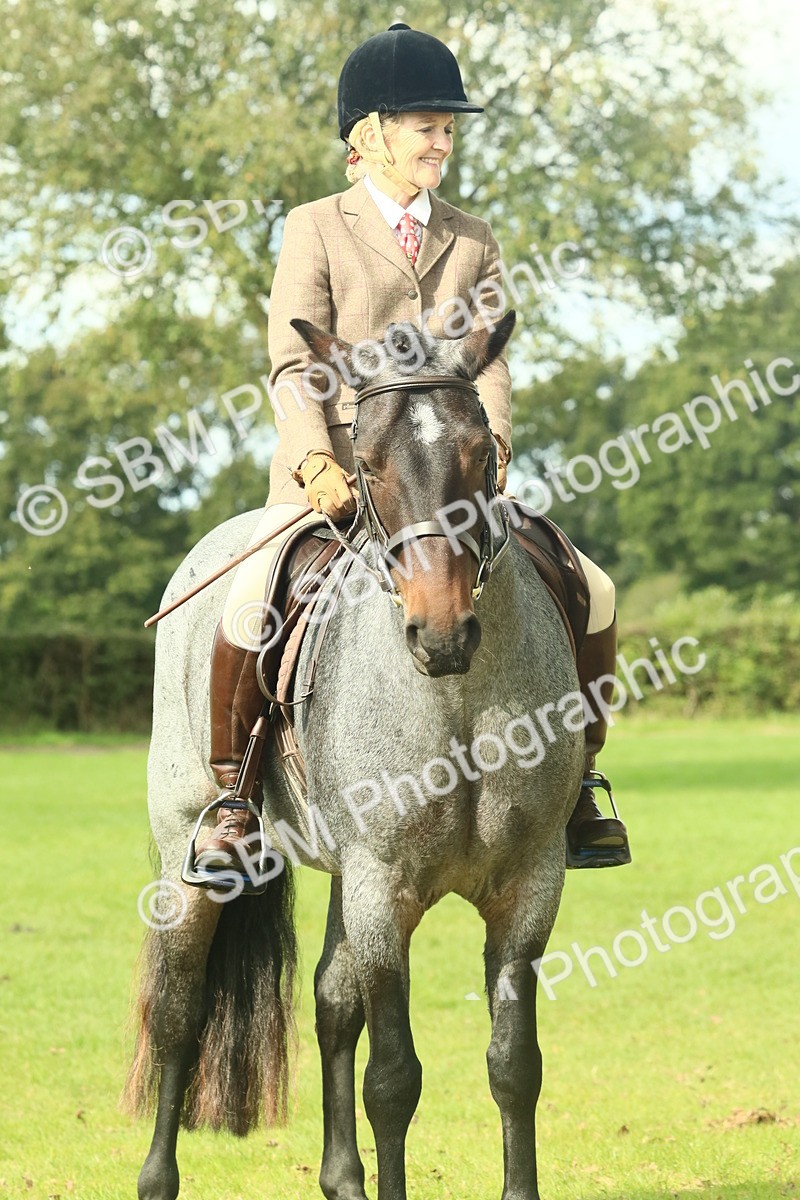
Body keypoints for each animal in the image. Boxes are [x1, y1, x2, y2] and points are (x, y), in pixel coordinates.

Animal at [125, 310, 585, 1200]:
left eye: (482, 454)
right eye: (367, 465)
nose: (441, 632)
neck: (456, 700)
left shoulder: (529, 887)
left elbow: (514, 1066)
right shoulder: (383, 888)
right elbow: (394, 1078)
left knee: (332, 1004)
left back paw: (342, 1178)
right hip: (191, 855)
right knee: (181, 1011)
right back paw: (157, 1178)